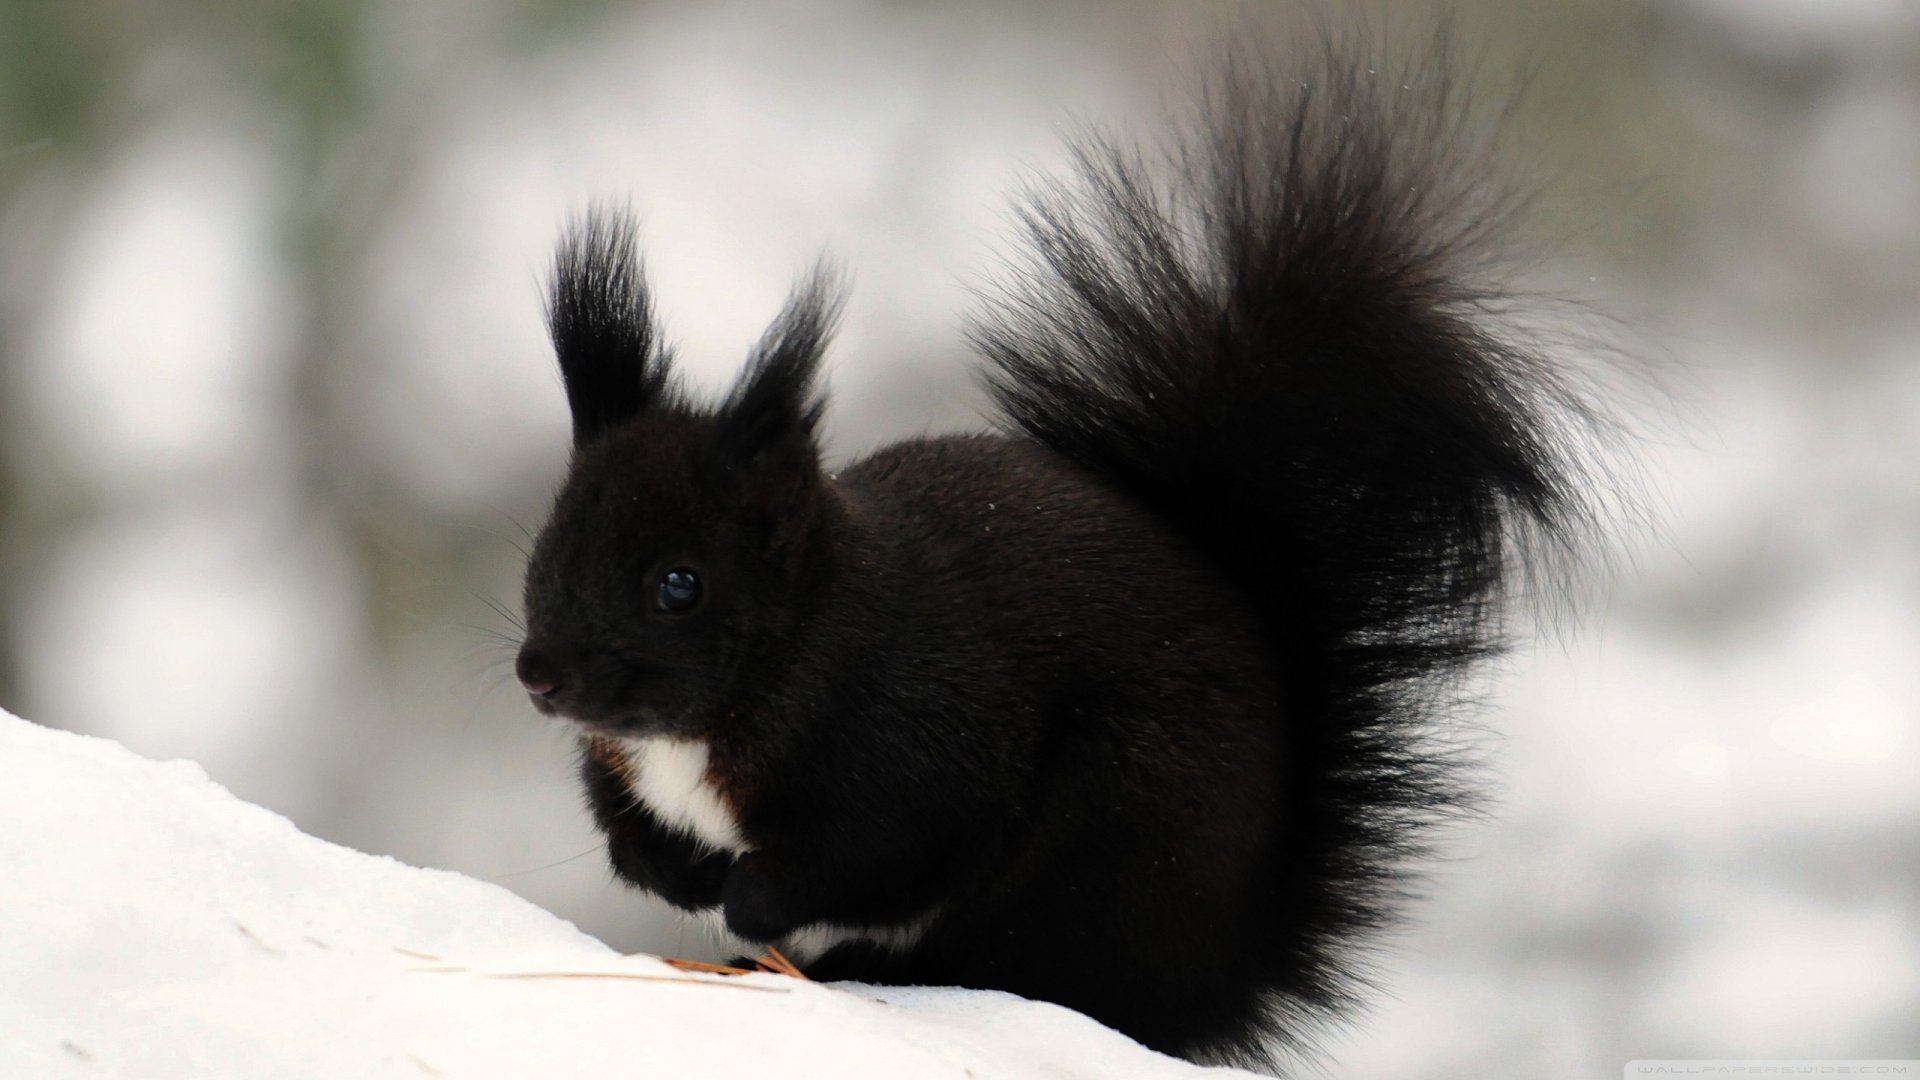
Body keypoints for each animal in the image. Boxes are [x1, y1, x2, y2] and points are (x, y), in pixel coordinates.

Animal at [513, 27, 1617, 1073]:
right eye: (546, 552)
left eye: (680, 585)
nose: (540, 676)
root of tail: (1220, 968)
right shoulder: (626, 767)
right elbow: (629, 832)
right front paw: (674, 873)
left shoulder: (918, 746)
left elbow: (871, 856)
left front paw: (745, 900)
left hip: (1106, 841)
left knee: (1025, 963)